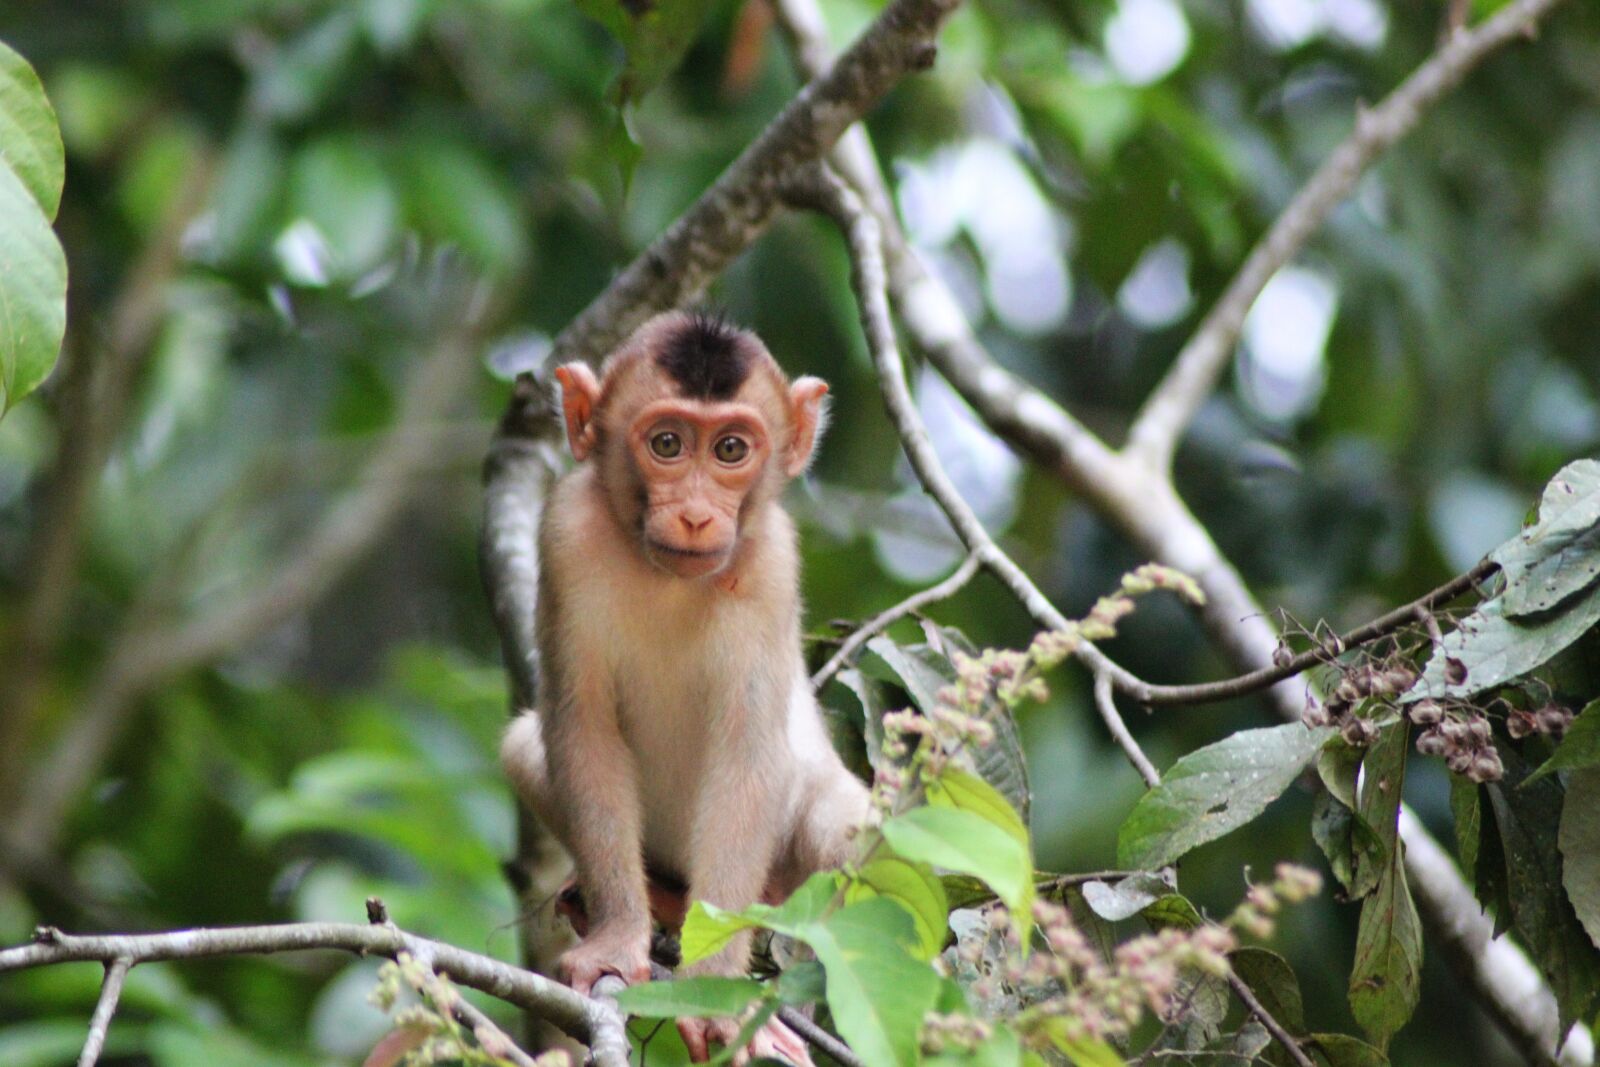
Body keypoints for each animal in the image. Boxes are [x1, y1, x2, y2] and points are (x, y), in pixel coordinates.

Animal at [501, 311, 870, 1065]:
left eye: (731, 448)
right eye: (667, 444)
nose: (698, 514)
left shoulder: (772, 565)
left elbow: (749, 757)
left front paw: (718, 993)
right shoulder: (566, 532)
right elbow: (581, 727)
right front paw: (618, 937)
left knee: (850, 831)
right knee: (526, 747)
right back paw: (655, 899)